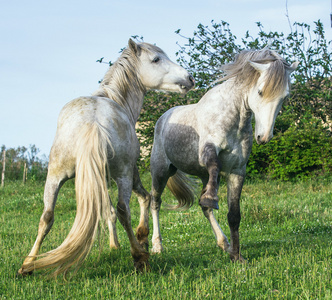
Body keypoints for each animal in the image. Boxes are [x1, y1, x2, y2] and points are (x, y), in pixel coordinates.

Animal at [17, 39, 195, 276]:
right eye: (156, 59)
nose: (189, 78)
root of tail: (93, 122)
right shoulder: (130, 175)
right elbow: (143, 199)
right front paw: (142, 239)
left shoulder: (100, 177)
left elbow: (107, 210)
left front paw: (115, 245)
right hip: (123, 177)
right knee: (124, 210)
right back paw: (139, 258)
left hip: (55, 177)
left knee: (47, 216)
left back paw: (28, 264)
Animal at [149, 48, 296, 262]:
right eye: (260, 91)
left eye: (284, 97)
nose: (264, 137)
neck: (234, 118)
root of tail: (163, 118)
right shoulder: (208, 150)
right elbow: (214, 164)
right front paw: (212, 197)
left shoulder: (237, 171)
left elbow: (234, 215)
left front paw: (237, 256)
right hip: (160, 171)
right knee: (155, 203)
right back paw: (157, 245)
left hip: (200, 175)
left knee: (205, 208)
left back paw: (224, 243)